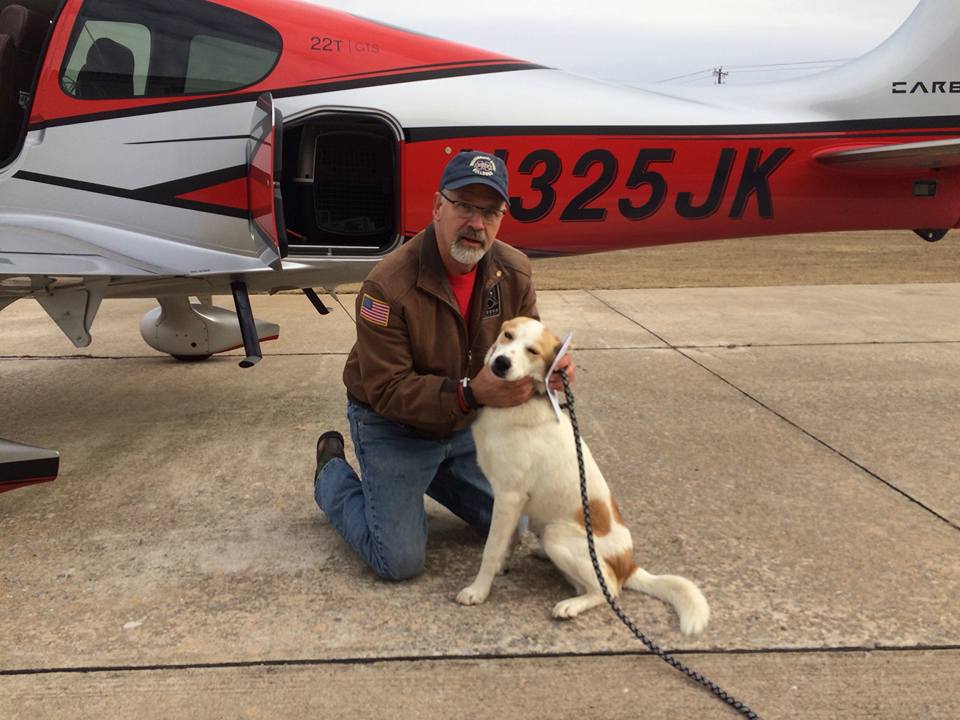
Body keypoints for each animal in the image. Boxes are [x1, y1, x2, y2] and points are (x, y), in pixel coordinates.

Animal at [454, 316, 708, 636]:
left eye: (533, 351)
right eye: (508, 335)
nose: (501, 363)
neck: (518, 403)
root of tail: (628, 564)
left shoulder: (509, 496)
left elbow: (490, 549)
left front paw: (478, 591)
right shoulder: (512, 502)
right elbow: (509, 538)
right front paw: (503, 564)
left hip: (558, 535)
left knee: (609, 589)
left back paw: (571, 606)